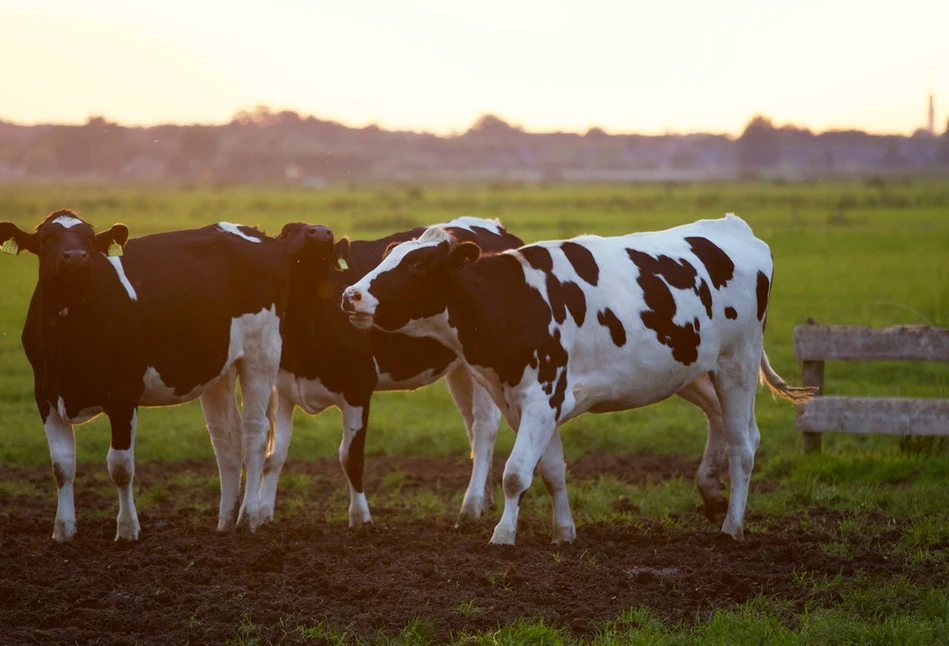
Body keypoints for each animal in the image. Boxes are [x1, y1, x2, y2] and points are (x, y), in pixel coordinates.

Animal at [0, 211, 288, 540]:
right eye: (47, 238)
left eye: (90, 239)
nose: (75, 256)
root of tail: (255, 232)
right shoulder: (45, 394)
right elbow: (61, 465)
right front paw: (63, 530)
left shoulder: (123, 395)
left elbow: (120, 466)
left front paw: (127, 530)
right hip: (221, 367)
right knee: (226, 436)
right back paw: (225, 521)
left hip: (261, 352)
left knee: (256, 431)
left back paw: (248, 517)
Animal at [260, 216, 524, 528]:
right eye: (288, 231)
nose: (322, 232)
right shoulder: (283, 388)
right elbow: (274, 455)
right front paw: (260, 515)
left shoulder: (358, 387)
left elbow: (350, 457)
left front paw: (360, 519)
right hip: (462, 369)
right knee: (471, 424)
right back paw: (484, 499)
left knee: (483, 428)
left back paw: (470, 506)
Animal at [340, 216, 816, 548]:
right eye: (388, 255)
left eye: (417, 264)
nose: (350, 295)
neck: (513, 301)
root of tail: (734, 227)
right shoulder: (526, 402)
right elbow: (550, 471)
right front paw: (563, 532)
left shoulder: (542, 396)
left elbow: (515, 473)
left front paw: (502, 536)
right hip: (692, 369)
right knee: (725, 423)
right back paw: (712, 494)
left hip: (737, 363)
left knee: (744, 445)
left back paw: (732, 526)